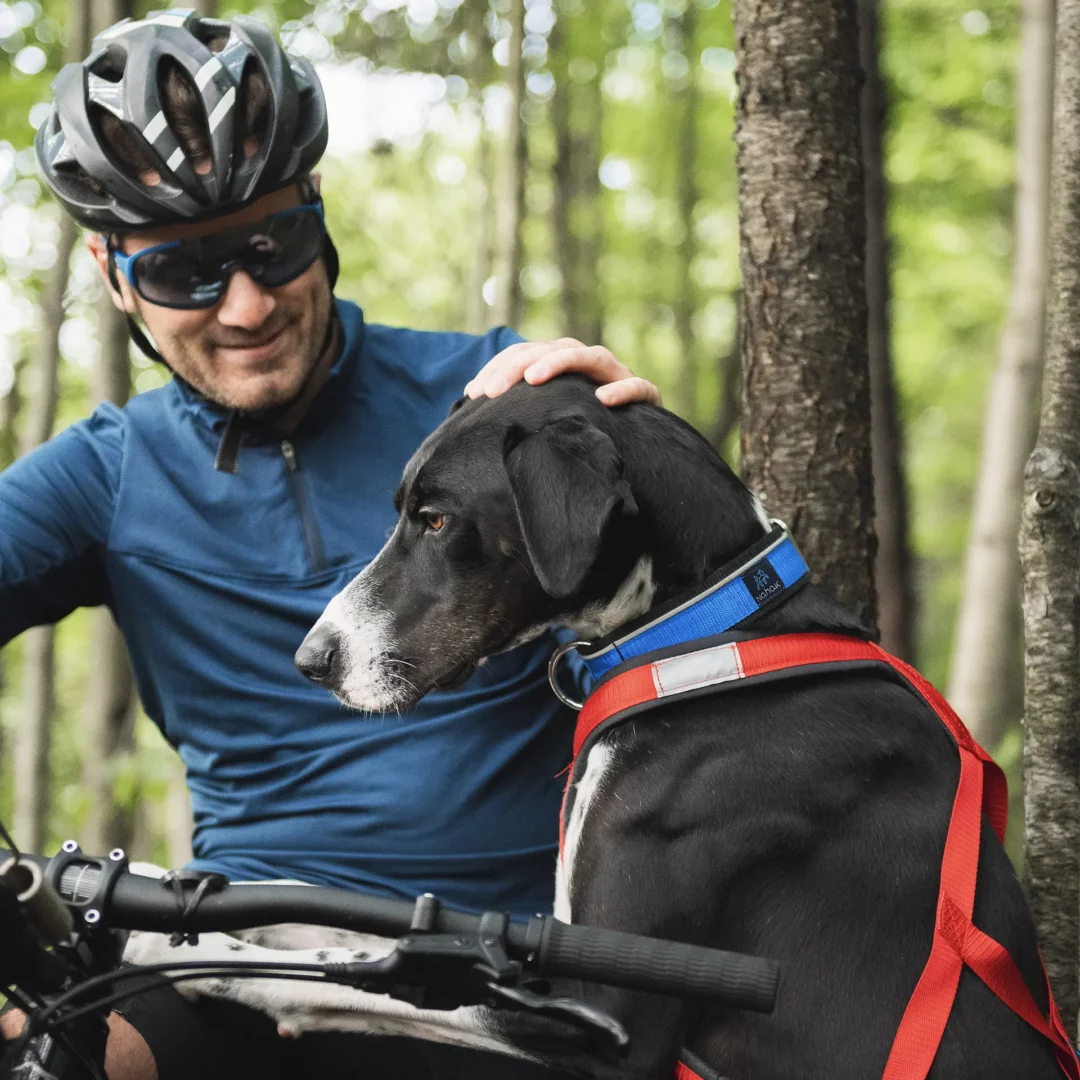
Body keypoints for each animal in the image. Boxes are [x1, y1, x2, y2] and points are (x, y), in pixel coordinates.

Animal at [143, 375, 1062, 1075]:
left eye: (436, 519)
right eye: (404, 509)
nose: (310, 659)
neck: (699, 628)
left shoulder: (603, 1007)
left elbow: (340, 976)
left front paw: (170, 951)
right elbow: (346, 931)